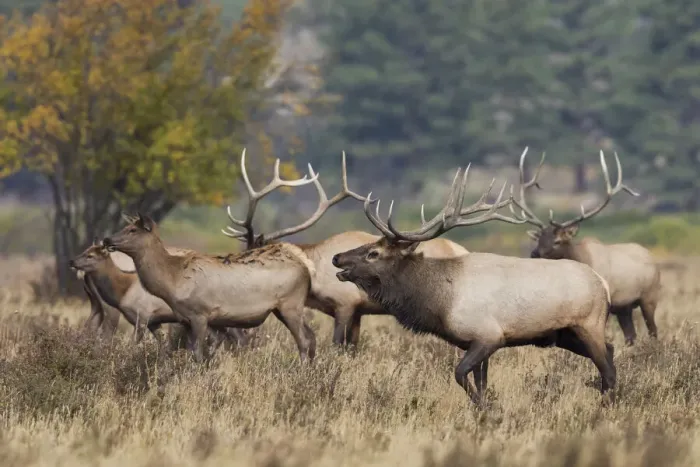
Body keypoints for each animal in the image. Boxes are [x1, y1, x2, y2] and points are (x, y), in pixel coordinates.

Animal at [71, 240, 253, 350]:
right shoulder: (153, 321)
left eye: (90, 255)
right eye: (84, 251)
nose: (72, 261)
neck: (122, 291)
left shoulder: (142, 317)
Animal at [102, 159, 320, 363]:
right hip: (284, 308)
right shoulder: (190, 319)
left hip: (291, 303)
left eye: (132, 230)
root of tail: (306, 267)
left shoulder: (200, 313)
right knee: (312, 336)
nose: (107, 239)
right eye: (125, 227)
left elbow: (198, 353)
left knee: (304, 340)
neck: (173, 281)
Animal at [330, 165, 616, 406]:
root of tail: (603, 284)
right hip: (565, 334)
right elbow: (481, 382)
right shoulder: (474, 342)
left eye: (373, 253)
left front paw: (486, 407)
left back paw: (609, 404)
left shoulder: (488, 336)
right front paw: (483, 408)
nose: (336, 257)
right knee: (611, 352)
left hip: (588, 323)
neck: (439, 301)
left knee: (607, 366)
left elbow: (460, 374)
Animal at [513, 147, 661, 346]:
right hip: (625, 307)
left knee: (653, 330)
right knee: (631, 335)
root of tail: (652, 258)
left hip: (649, 297)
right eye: (539, 239)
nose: (534, 253)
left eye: (557, 241)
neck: (582, 258)